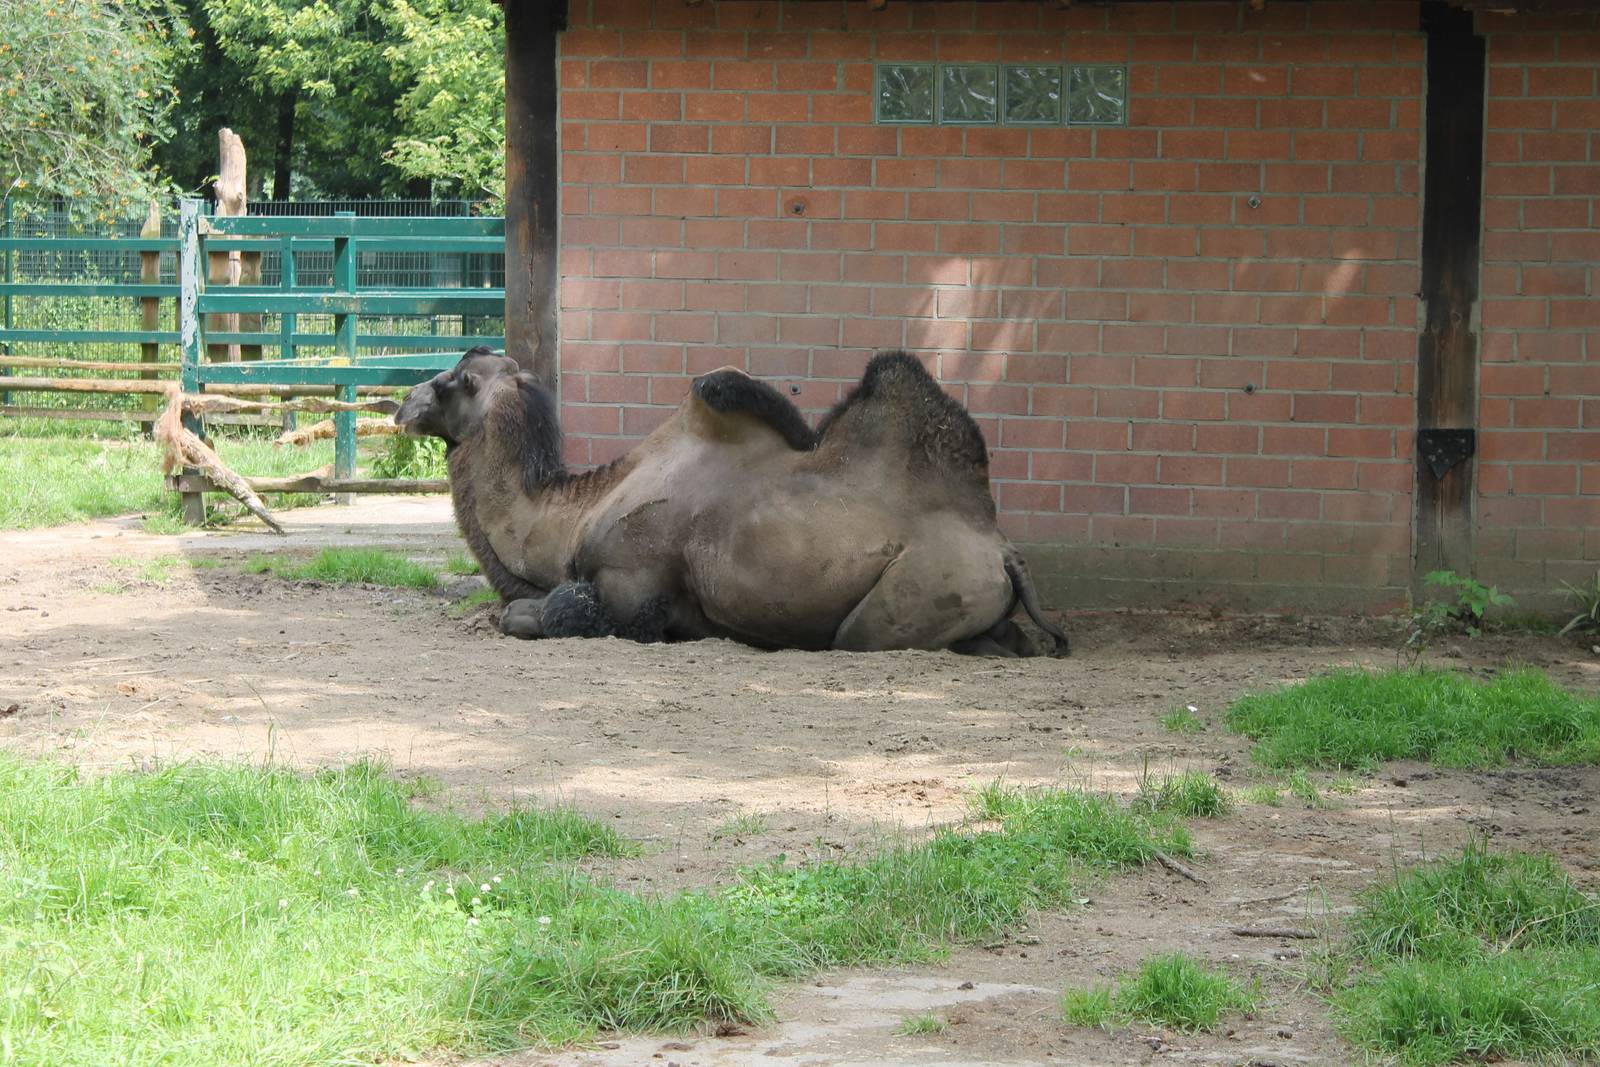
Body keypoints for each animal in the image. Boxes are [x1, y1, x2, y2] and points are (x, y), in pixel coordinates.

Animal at [395, 346, 1069, 657]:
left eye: (451, 380)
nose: (402, 403)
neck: (575, 514)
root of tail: (1001, 548)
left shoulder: (632, 584)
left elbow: (549, 612)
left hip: (915, 591)